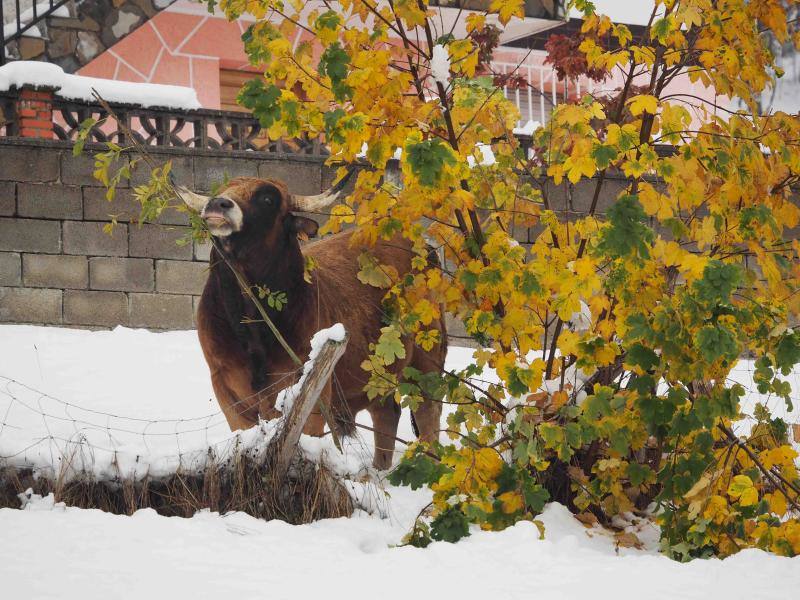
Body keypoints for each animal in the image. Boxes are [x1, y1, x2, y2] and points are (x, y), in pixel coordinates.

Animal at [176, 176, 446, 466]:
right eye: (221, 190)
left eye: (268, 199)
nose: (218, 204)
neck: (253, 327)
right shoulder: (229, 393)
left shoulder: (312, 400)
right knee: (386, 414)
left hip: (427, 362)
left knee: (428, 414)